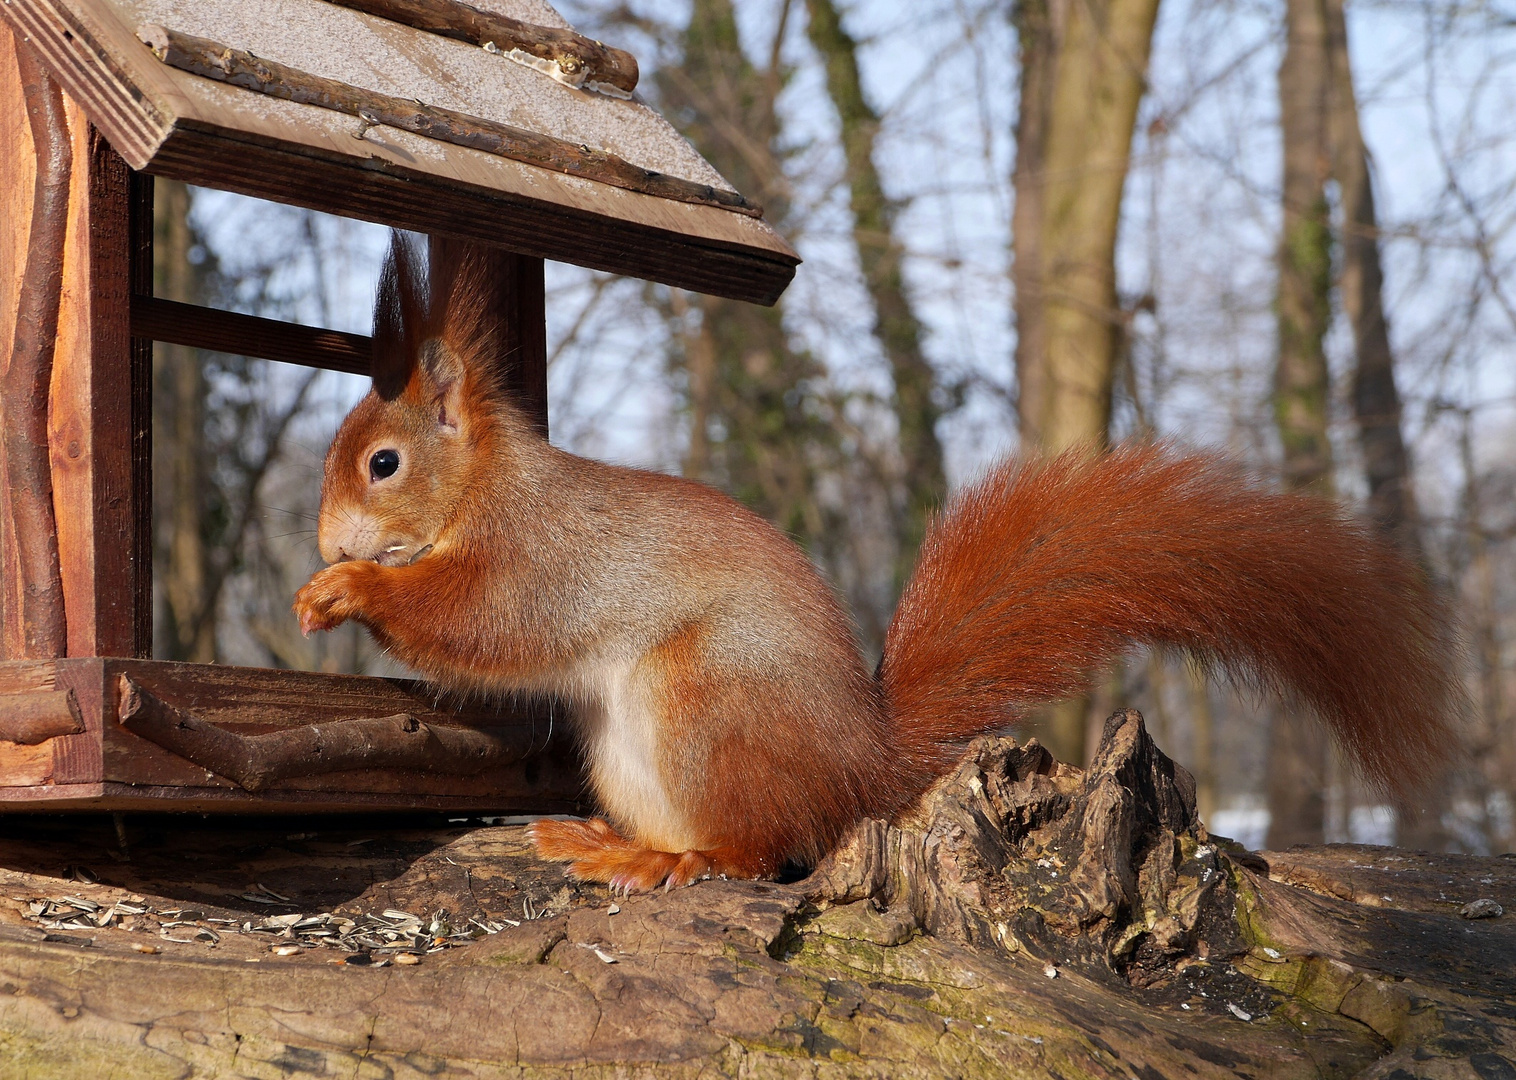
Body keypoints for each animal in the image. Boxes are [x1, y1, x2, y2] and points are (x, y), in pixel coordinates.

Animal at [289, 241, 1461, 891]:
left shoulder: (537, 558)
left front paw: (351, 592)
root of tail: (862, 766)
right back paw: (607, 836)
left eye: (383, 462)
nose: (328, 540)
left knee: (760, 849)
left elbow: (480, 623)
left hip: (706, 700)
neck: (484, 491)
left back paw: (669, 860)